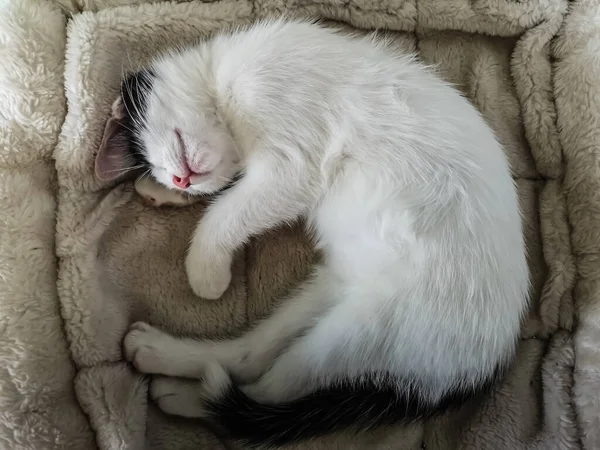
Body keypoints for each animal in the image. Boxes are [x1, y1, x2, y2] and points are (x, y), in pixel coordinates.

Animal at [95, 19, 528, 448]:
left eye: (157, 149)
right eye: (155, 166)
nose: (178, 179)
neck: (221, 79)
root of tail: (474, 374)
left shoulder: (292, 161)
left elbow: (229, 211)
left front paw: (205, 267)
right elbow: (230, 191)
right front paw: (166, 195)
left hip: (370, 329)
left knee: (265, 395)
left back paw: (190, 394)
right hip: (328, 291)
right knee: (250, 358)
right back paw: (162, 358)